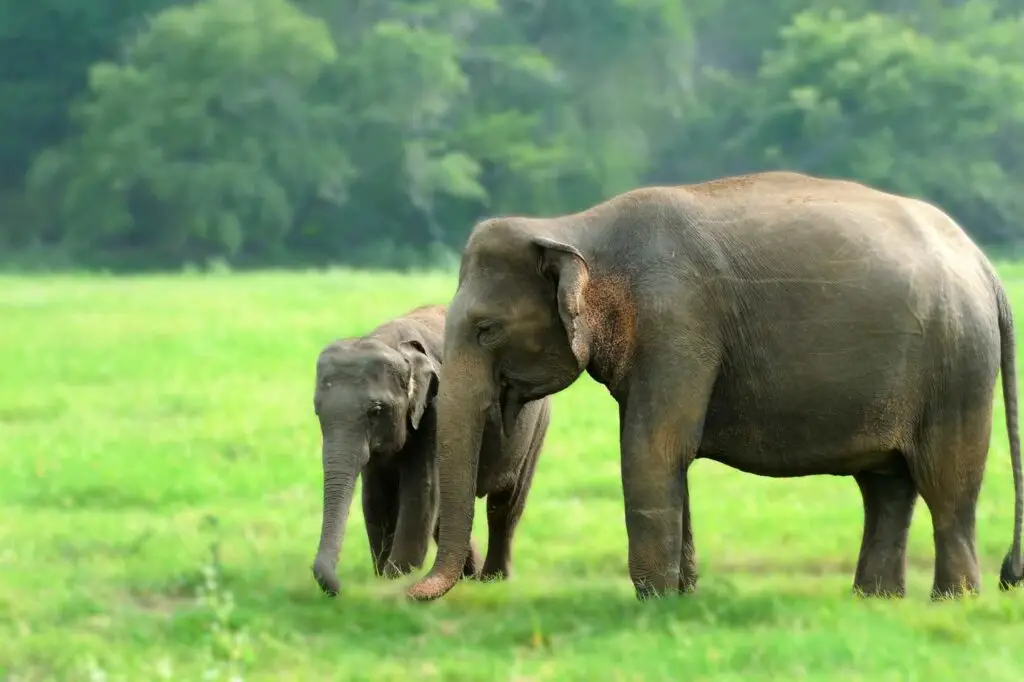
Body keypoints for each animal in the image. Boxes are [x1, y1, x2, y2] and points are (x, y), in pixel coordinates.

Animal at [310, 304, 551, 596]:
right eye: (317, 411)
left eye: (376, 410)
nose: (340, 588)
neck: (390, 342)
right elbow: (375, 497)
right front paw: (382, 581)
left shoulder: (436, 411)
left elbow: (420, 493)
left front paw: (395, 582)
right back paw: (468, 578)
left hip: (537, 424)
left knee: (506, 504)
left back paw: (493, 581)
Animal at [405, 170, 1024, 603]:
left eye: (486, 329)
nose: (409, 592)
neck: (572, 226)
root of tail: (985, 267)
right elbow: (667, 455)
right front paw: (683, 597)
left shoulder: (676, 321)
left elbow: (652, 448)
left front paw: (651, 603)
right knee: (886, 486)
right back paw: (875, 602)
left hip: (957, 366)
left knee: (947, 484)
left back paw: (951, 602)